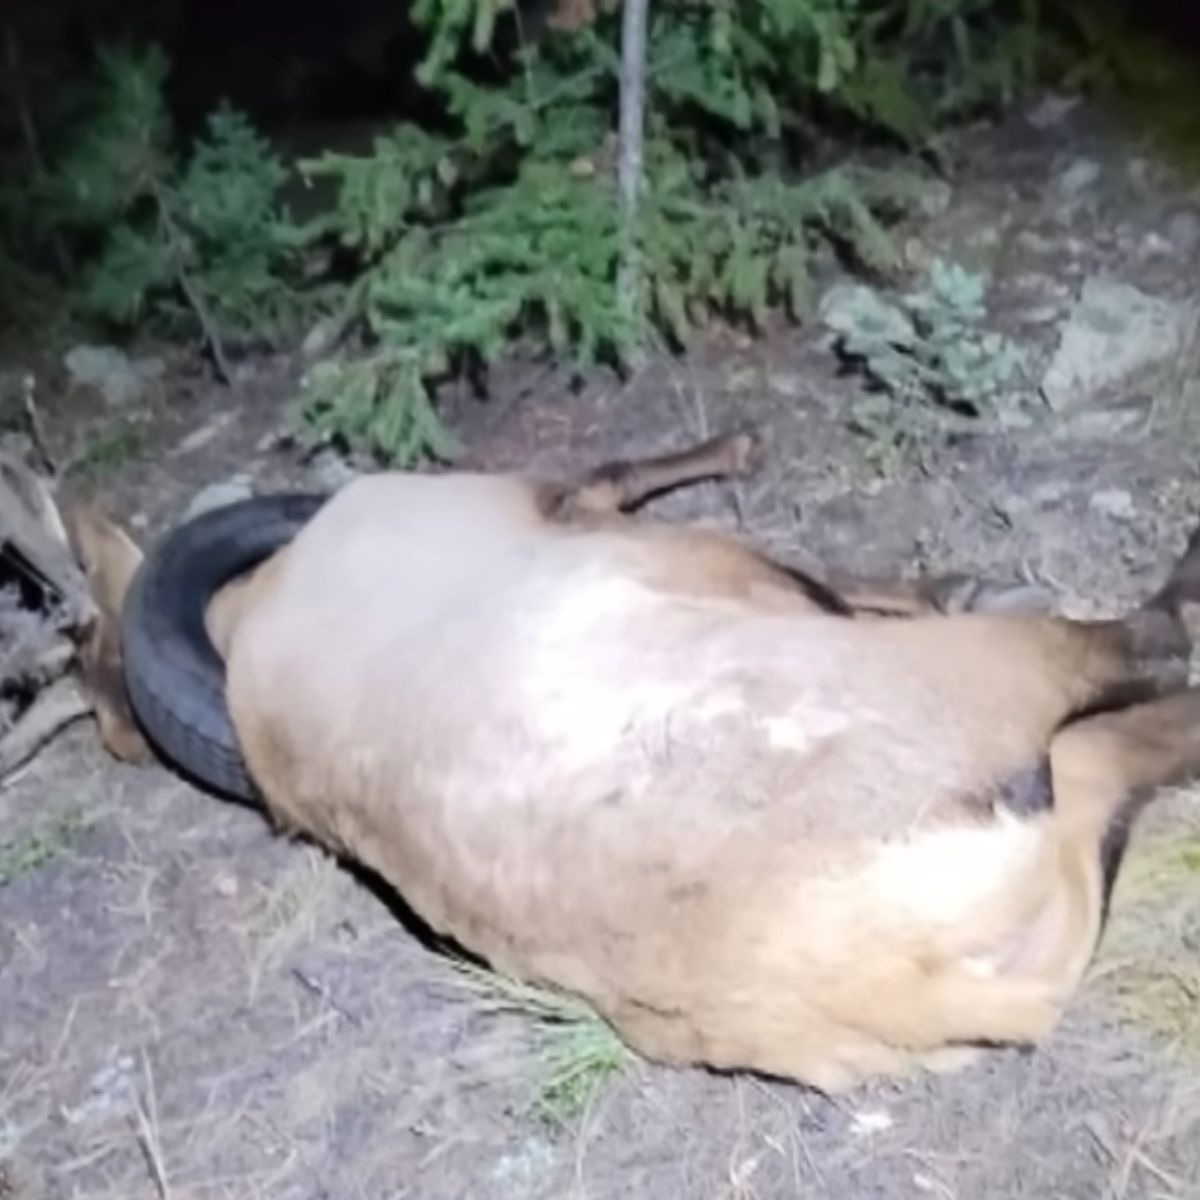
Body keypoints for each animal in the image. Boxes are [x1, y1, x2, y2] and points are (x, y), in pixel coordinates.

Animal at [70, 429, 1200, 1089]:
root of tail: (895, 978)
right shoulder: (599, 522)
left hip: (1062, 832)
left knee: (1129, 744)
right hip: (993, 686)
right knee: (1139, 648)